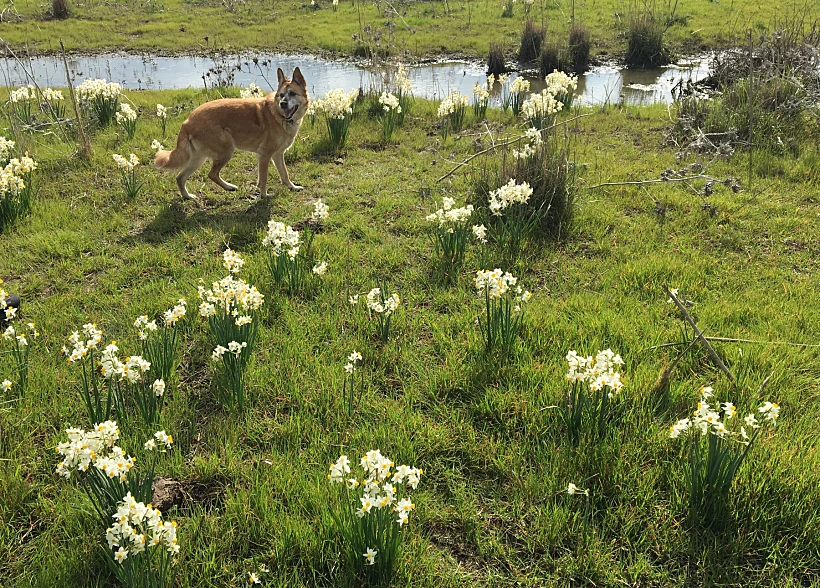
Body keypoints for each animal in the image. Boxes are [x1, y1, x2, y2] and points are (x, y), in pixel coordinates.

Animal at [155, 67, 310, 198]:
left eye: (292, 93)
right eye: (281, 95)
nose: (283, 103)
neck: (279, 116)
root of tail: (187, 121)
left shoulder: (277, 155)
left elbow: (284, 174)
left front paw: (292, 187)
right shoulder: (265, 155)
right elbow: (264, 178)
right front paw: (264, 196)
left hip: (199, 158)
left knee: (180, 177)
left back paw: (187, 196)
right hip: (226, 151)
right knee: (212, 174)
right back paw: (228, 187)